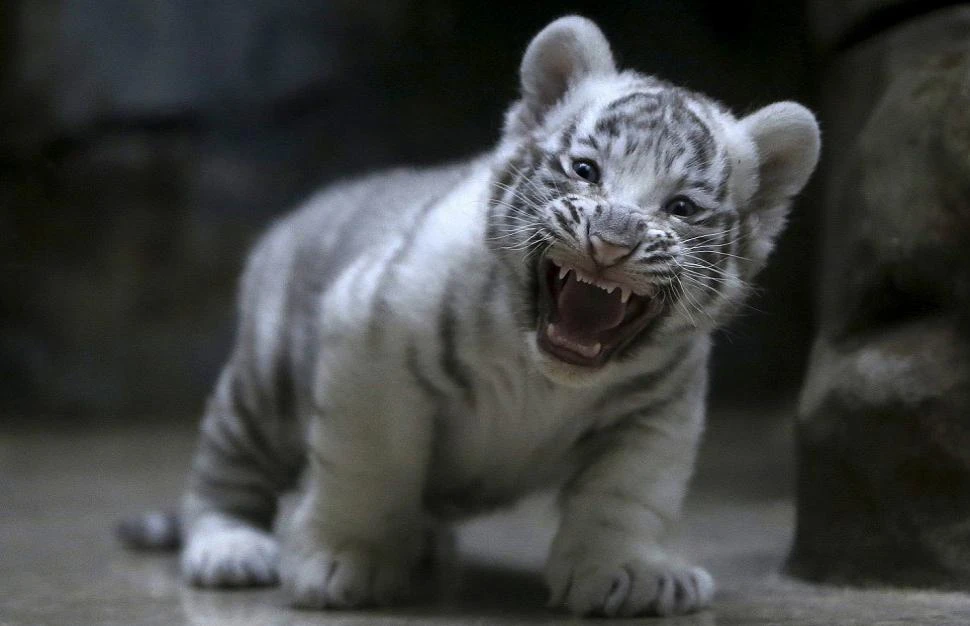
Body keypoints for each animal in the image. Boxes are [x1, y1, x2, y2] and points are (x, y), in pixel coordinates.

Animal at [119, 15, 819, 617]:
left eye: (680, 208)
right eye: (585, 170)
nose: (614, 239)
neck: (544, 377)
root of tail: (293, 219)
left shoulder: (659, 410)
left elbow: (628, 494)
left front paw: (629, 574)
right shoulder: (370, 345)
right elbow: (369, 465)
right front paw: (344, 561)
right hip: (262, 388)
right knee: (222, 473)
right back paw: (232, 549)